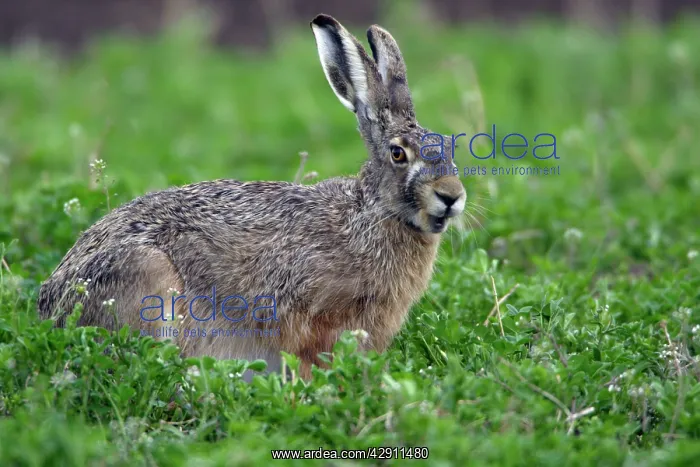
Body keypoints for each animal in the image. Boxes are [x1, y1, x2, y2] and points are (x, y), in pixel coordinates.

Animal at [37, 13, 466, 380]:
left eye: (449, 148)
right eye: (398, 154)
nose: (452, 196)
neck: (371, 214)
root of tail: (50, 312)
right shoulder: (307, 316)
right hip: (151, 283)